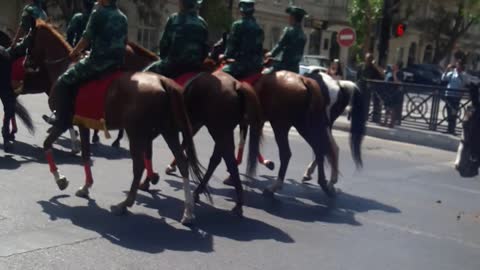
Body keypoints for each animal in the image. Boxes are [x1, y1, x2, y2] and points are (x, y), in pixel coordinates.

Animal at [25, 20, 203, 225]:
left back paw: (125, 204)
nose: (25, 63)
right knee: (182, 162)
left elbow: (47, 145)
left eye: (29, 37)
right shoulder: (83, 124)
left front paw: (60, 179)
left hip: (137, 133)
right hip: (168, 130)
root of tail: (162, 82)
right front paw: (86, 187)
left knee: (139, 166)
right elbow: (85, 154)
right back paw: (188, 211)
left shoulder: (64, 121)